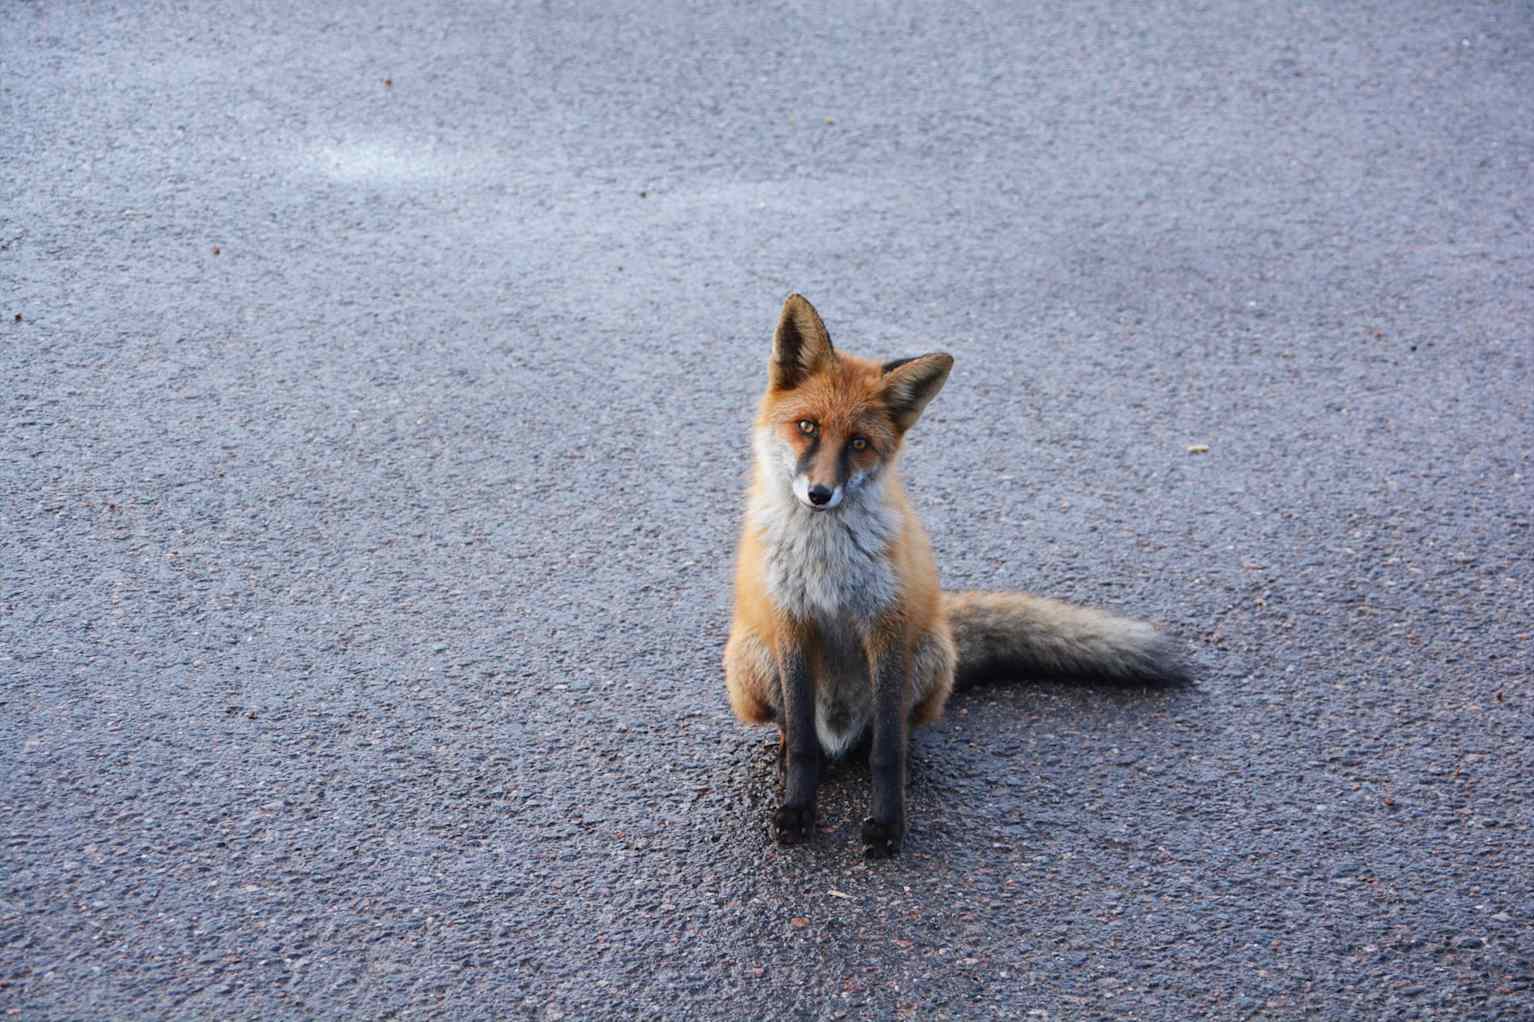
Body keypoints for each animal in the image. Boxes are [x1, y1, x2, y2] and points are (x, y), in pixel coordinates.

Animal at [720, 290, 1184, 853]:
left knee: (891, 732)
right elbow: (807, 747)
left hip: (927, 655)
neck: (825, 561)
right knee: (797, 728)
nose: (820, 494)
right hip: (750, 659)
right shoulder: (791, 622)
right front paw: (797, 809)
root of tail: (842, 731)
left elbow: (887, 751)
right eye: (807, 427)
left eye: (859, 444)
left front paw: (889, 825)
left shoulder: (887, 627)